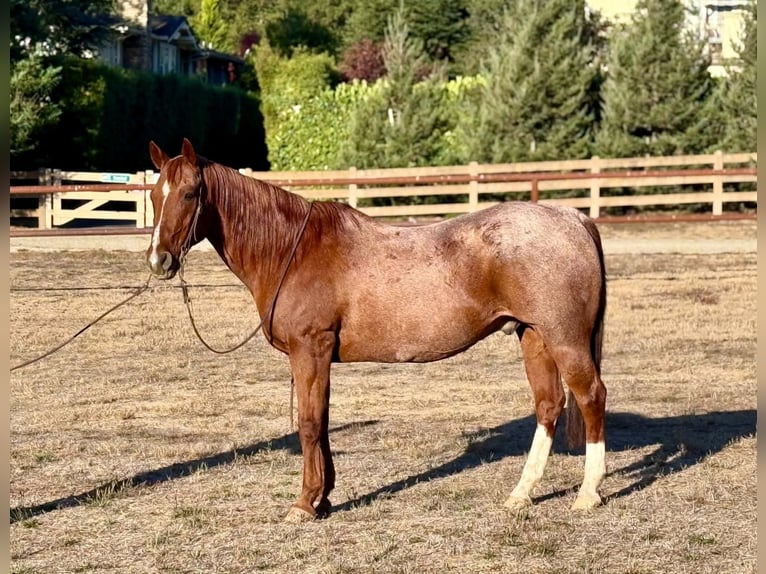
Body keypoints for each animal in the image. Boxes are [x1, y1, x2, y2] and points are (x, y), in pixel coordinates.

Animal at [145, 138, 608, 523]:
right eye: (153, 195)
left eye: (189, 193)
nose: (159, 261)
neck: (292, 249)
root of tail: (572, 218)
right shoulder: (319, 358)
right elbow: (322, 422)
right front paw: (324, 498)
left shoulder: (309, 350)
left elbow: (309, 424)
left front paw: (304, 504)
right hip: (534, 336)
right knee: (549, 405)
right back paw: (521, 494)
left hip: (564, 339)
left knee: (590, 397)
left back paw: (588, 493)